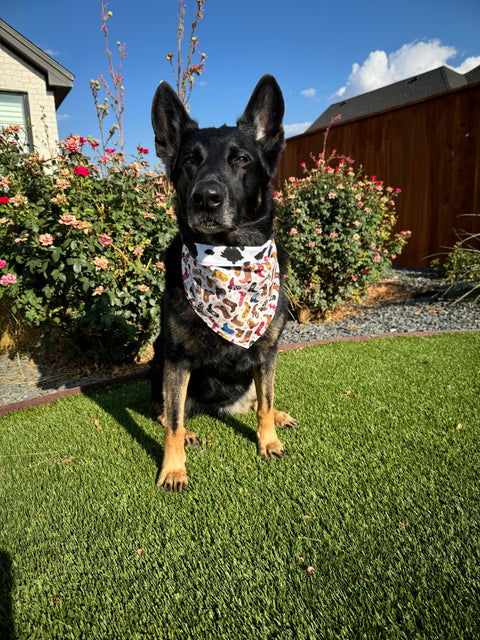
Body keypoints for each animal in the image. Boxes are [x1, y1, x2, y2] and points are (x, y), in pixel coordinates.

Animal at [150, 76, 294, 496]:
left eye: (242, 160)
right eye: (189, 161)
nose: (206, 198)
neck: (230, 258)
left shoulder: (267, 351)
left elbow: (265, 401)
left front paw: (268, 441)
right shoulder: (176, 359)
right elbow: (174, 421)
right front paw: (174, 469)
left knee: (256, 399)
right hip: (157, 362)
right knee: (165, 410)